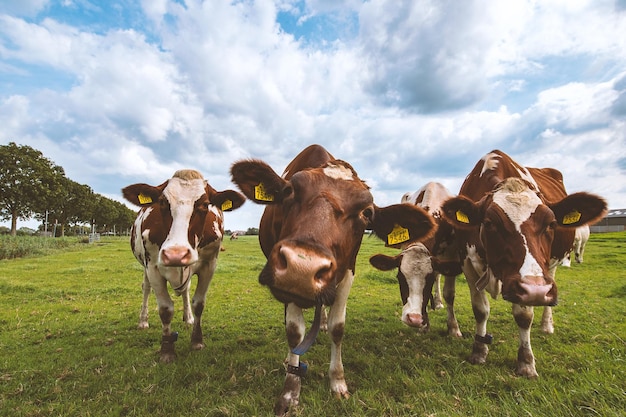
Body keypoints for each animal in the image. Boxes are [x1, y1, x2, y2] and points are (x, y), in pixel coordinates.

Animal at [120, 168, 245, 360]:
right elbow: (165, 309)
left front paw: (197, 341)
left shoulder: (209, 265)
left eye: (204, 204)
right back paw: (143, 320)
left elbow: (198, 303)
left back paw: (188, 318)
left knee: (186, 290)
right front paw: (166, 351)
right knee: (146, 288)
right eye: (162, 202)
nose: (175, 254)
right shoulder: (153, 267)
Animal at [228, 145, 434, 414]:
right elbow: (294, 332)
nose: (302, 266)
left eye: (367, 213)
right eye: (289, 191)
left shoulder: (347, 272)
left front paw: (338, 383)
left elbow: (338, 328)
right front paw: (290, 391)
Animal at [368, 181, 460, 334]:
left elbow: (449, 293)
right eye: (399, 277)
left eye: (429, 279)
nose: (414, 318)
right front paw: (425, 324)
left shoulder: (451, 253)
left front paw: (453, 328)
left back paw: (438, 303)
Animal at [438, 150, 604, 376]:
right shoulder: (468, 264)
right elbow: (480, 310)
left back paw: (547, 325)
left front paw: (526, 361)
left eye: (551, 224)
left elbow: (524, 315)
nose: (538, 290)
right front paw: (479, 351)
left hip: (550, 269)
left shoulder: (531, 282)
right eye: (489, 223)